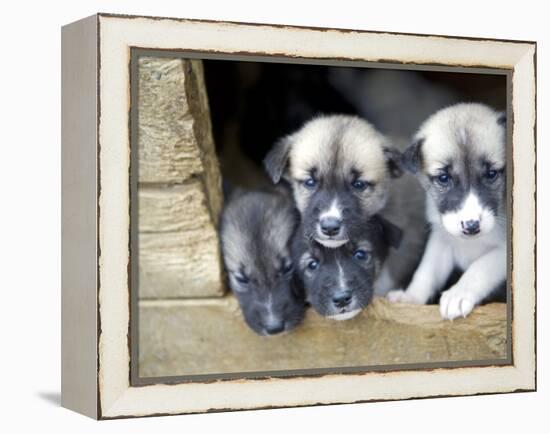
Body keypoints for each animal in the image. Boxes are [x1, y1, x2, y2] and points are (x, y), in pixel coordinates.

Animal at [388, 101, 508, 318]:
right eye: (444, 178)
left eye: (491, 174)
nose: (471, 226)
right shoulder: (441, 241)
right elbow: (426, 271)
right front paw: (410, 298)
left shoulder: (502, 252)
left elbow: (479, 267)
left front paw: (458, 295)